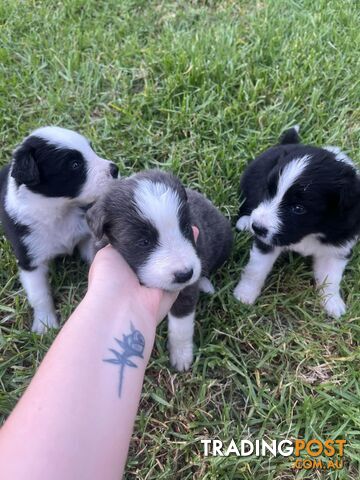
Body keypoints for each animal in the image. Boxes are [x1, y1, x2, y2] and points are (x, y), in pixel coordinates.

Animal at [0, 125, 118, 332]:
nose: (115, 169)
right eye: (75, 165)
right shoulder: (30, 259)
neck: (59, 211)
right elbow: (39, 295)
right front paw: (45, 325)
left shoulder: (86, 236)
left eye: (91, 149)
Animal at [87, 170, 233, 372]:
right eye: (144, 242)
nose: (185, 274)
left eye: (185, 228)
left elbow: (181, 326)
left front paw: (181, 356)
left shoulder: (185, 291)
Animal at [233, 125, 360, 316]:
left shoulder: (338, 247)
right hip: (250, 179)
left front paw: (332, 303)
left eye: (298, 208)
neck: (311, 232)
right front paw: (244, 295)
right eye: (269, 191)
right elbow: (256, 269)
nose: (257, 227)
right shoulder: (266, 242)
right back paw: (244, 220)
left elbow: (331, 277)